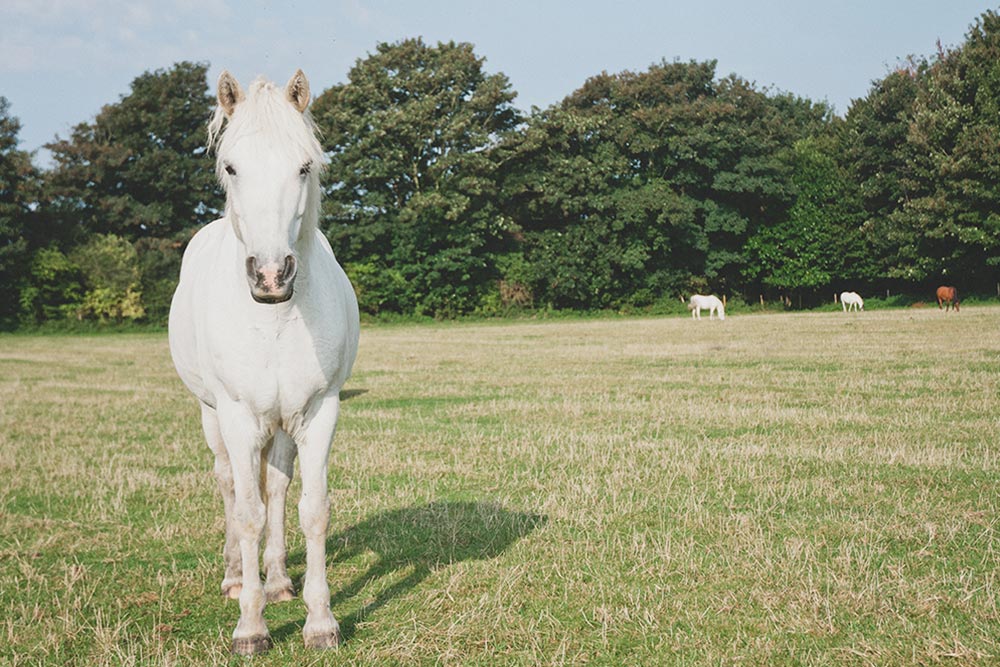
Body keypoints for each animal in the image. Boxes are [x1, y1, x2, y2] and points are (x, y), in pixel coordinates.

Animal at [168, 71, 359, 655]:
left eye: (304, 166)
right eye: (231, 167)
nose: (272, 276)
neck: (275, 319)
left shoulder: (318, 412)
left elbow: (312, 510)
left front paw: (320, 622)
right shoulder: (235, 415)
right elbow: (248, 514)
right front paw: (250, 627)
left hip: (280, 423)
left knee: (275, 485)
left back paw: (276, 580)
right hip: (214, 417)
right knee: (231, 484)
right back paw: (236, 577)